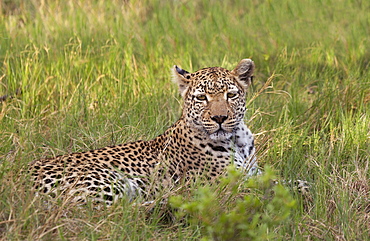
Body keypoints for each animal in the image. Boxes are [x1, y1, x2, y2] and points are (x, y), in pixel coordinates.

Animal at [29, 58, 260, 205]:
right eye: (202, 98)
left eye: (231, 95)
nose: (219, 118)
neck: (238, 140)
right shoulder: (229, 187)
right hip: (107, 179)